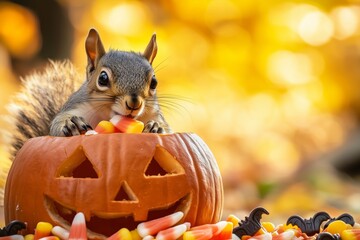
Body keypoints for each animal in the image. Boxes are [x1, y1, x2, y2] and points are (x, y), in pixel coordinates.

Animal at [3, 28, 170, 158]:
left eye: (154, 82)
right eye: (102, 78)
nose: (134, 103)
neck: (107, 115)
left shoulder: (154, 114)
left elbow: (166, 129)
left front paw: (156, 127)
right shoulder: (77, 106)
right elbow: (56, 126)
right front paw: (71, 123)